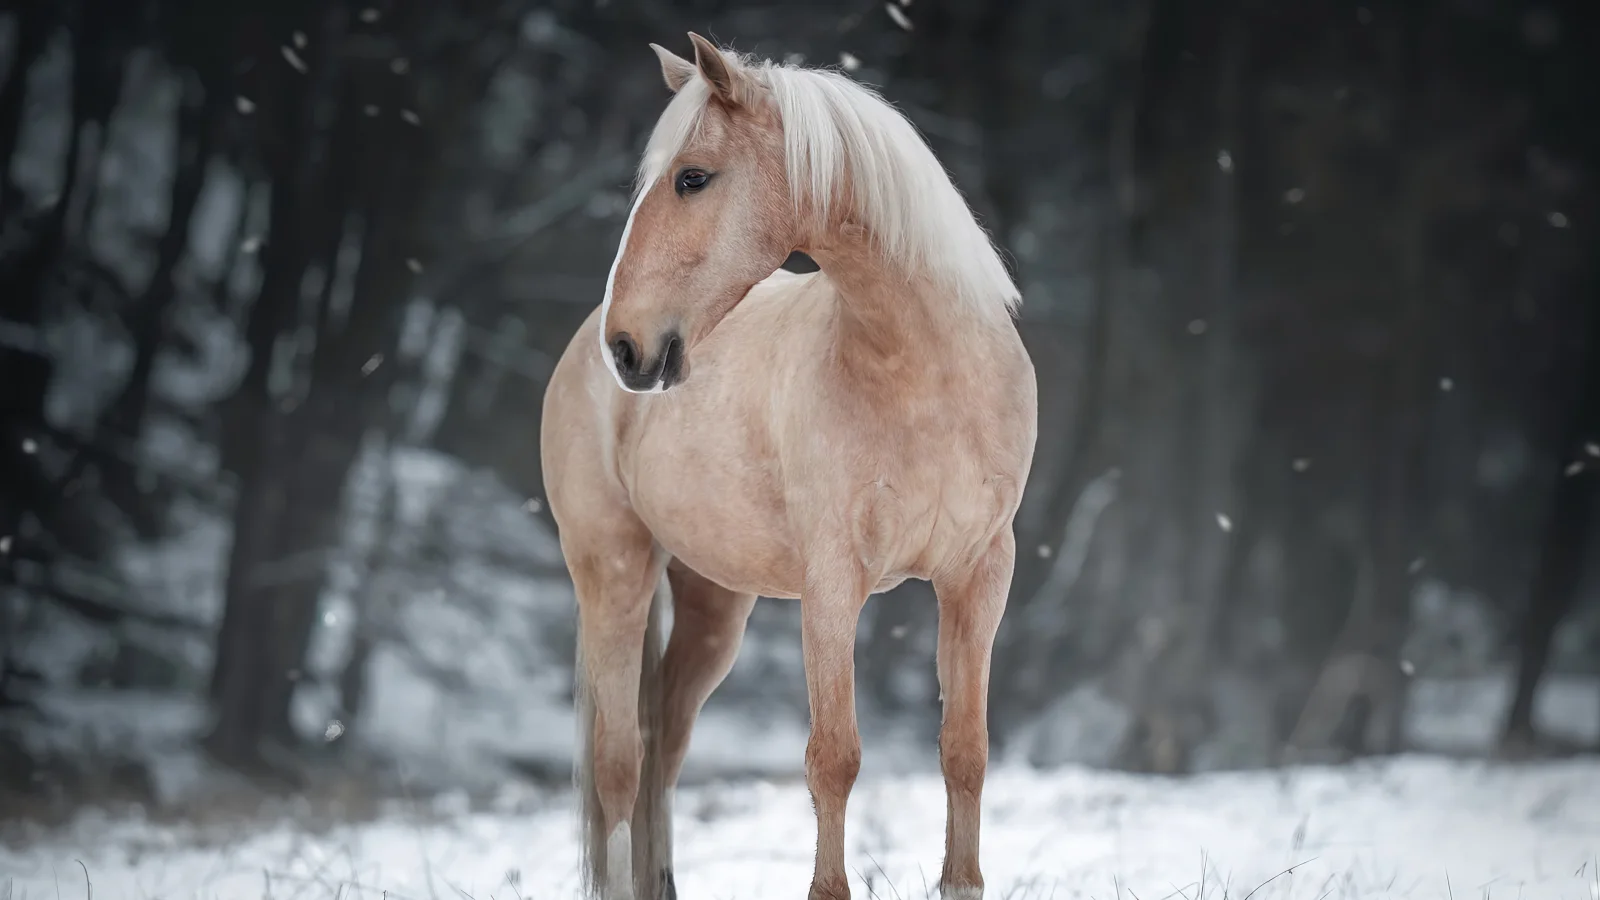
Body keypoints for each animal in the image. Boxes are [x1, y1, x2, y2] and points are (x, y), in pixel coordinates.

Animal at [540, 33, 1038, 900]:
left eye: (692, 176)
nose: (629, 349)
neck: (924, 376)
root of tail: (579, 352)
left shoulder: (980, 575)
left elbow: (964, 752)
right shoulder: (833, 584)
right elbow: (834, 758)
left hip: (714, 607)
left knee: (662, 752)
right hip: (613, 575)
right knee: (618, 767)